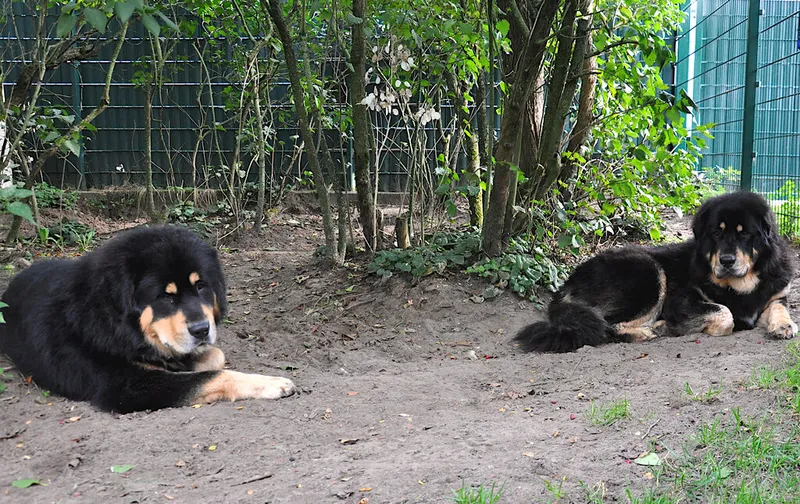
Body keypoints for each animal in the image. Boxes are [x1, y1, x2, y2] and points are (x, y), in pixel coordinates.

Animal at [0, 225, 295, 412]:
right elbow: (214, 375)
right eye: (165, 296)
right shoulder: (129, 387)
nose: (201, 330)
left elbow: (215, 356)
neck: (115, 324)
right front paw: (272, 383)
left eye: (201, 286)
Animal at [515, 191, 797, 353]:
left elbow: (779, 307)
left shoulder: (774, 295)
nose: (726, 260)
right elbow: (725, 314)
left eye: (745, 233)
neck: (741, 285)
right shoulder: (680, 301)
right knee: (608, 326)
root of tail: (566, 285)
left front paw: (784, 325)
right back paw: (652, 330)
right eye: (716, 233)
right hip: (648, 272)